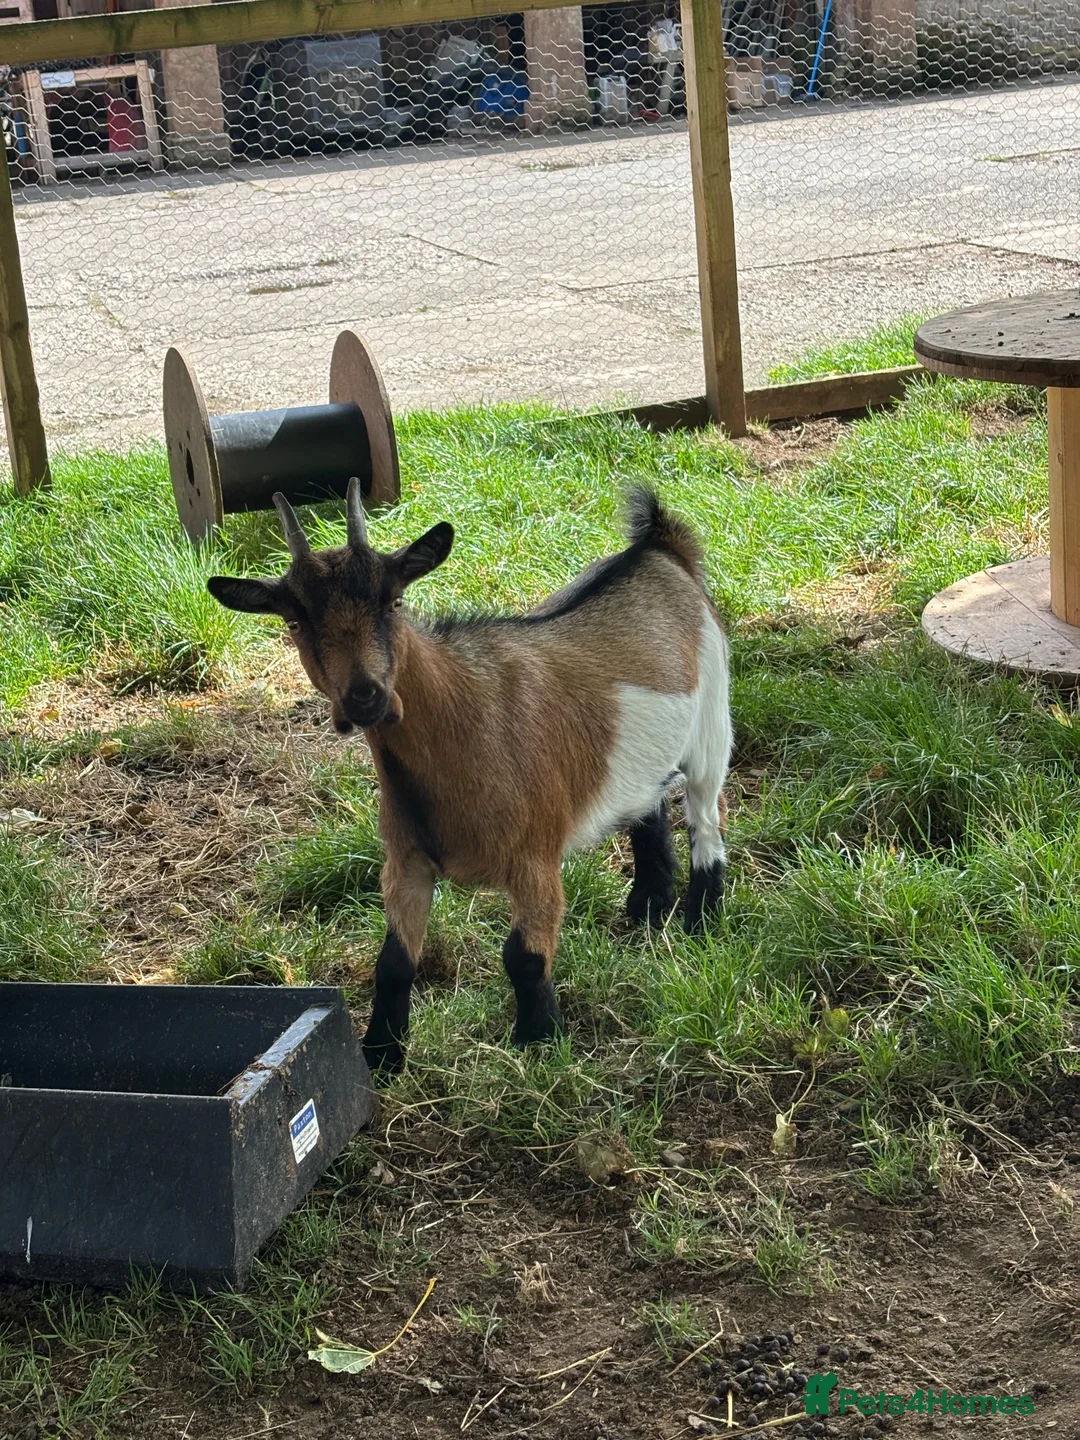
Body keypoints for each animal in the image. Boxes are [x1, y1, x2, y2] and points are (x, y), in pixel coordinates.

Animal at [208, 480, 732, 1076]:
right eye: (294, 621)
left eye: (394, 601)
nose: (364, 696)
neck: (465, 723)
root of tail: (660, 548)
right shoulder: (407, 862)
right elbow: (392, 963)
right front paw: (381, 1055)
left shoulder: (534, 856)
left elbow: (523, 957)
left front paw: (538, 1042)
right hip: (644, 757)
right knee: (648, 804)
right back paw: (647, 907)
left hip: (712, 719)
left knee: (706, 817)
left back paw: (699, 921)